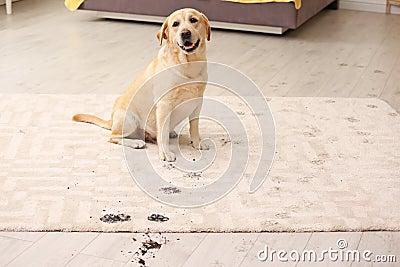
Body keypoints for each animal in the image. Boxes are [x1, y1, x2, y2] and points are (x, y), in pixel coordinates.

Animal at [72, 8, 211, 162]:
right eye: (175, 24)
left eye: (193, 20)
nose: (185, 33)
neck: (188, 64)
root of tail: (111, 120)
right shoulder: (164, 105)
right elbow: (162, 134)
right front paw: (165, 153)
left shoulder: (197, 102)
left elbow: (194, 127)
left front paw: (197, 144)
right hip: (128, 118)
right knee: (113, 137)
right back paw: (136, 142)